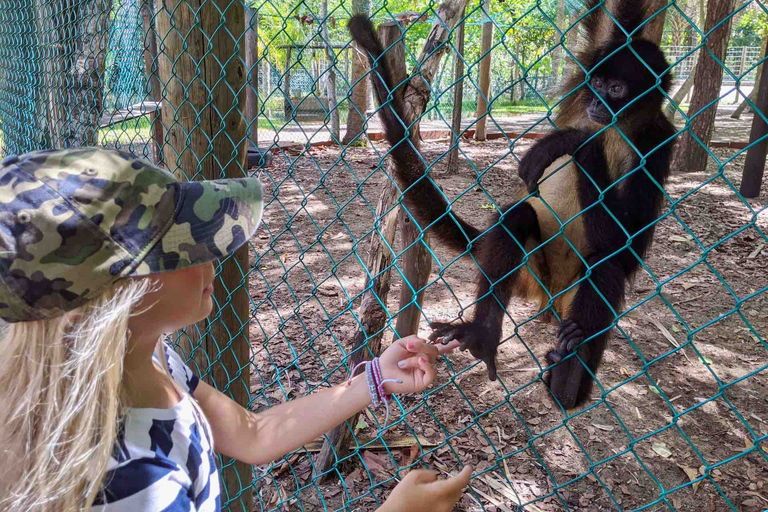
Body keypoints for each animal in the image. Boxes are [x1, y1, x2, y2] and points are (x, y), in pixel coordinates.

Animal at [344, 0, 676, 410]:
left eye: (616, 89)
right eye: (597, 84)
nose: (598, 102)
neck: (615, 125)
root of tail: (553, 297)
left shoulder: (658, 140)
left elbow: (628, 248)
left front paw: (575, 142)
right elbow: (615, 17)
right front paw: (575, 139)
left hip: (570, 286)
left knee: (605, 264)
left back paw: (569, 381)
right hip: (533, 270)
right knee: (518, 218)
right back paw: (484, 335)